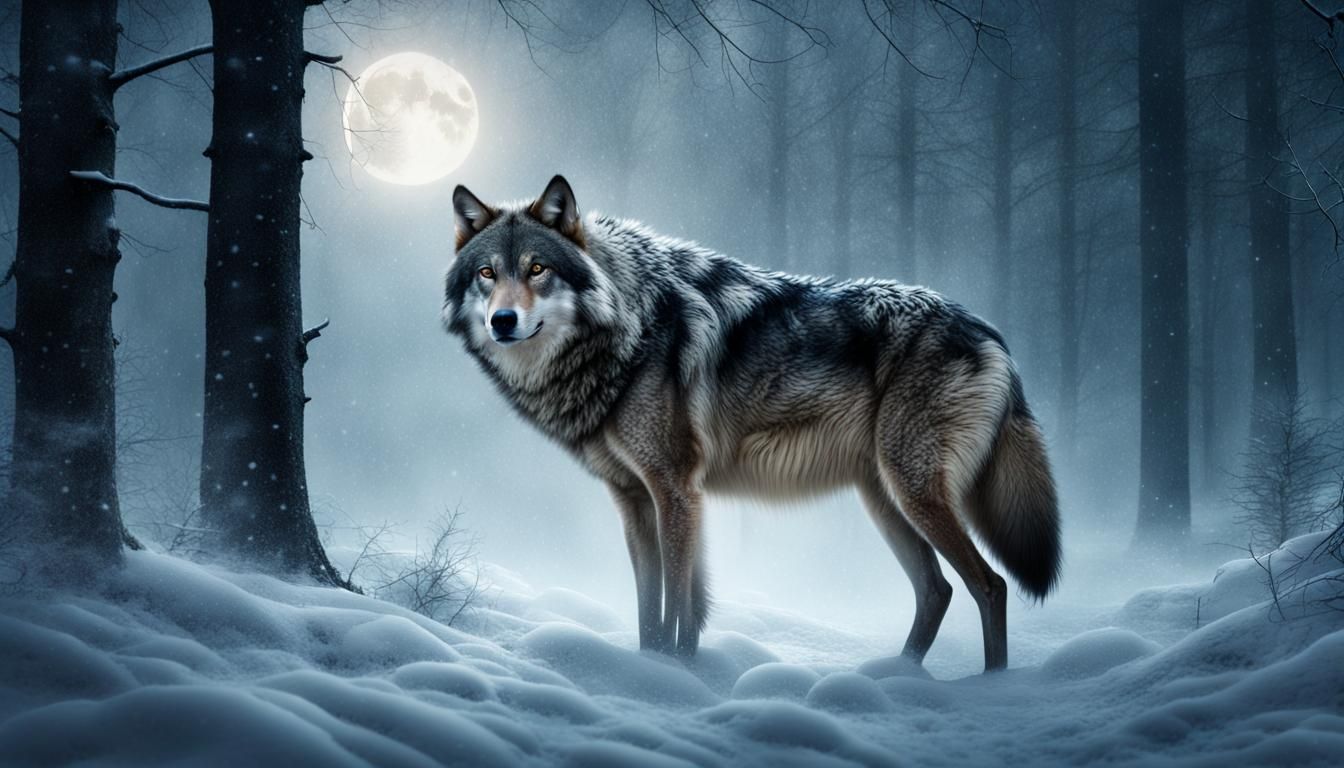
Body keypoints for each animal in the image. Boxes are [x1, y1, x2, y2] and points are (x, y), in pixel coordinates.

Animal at [442, 175, 1060, 671]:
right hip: (884, 500)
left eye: (538, 269)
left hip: (913, 492)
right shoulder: (636, 500)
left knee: (990, 585)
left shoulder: (675, 491)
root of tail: (991, 332)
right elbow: (652, 613)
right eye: (487, 273)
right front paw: (654, 676)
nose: (502, 321)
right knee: (937, 591)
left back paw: (991, 689)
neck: (627, 325)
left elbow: (678, 606)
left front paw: (675, 678)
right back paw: (897, 679)